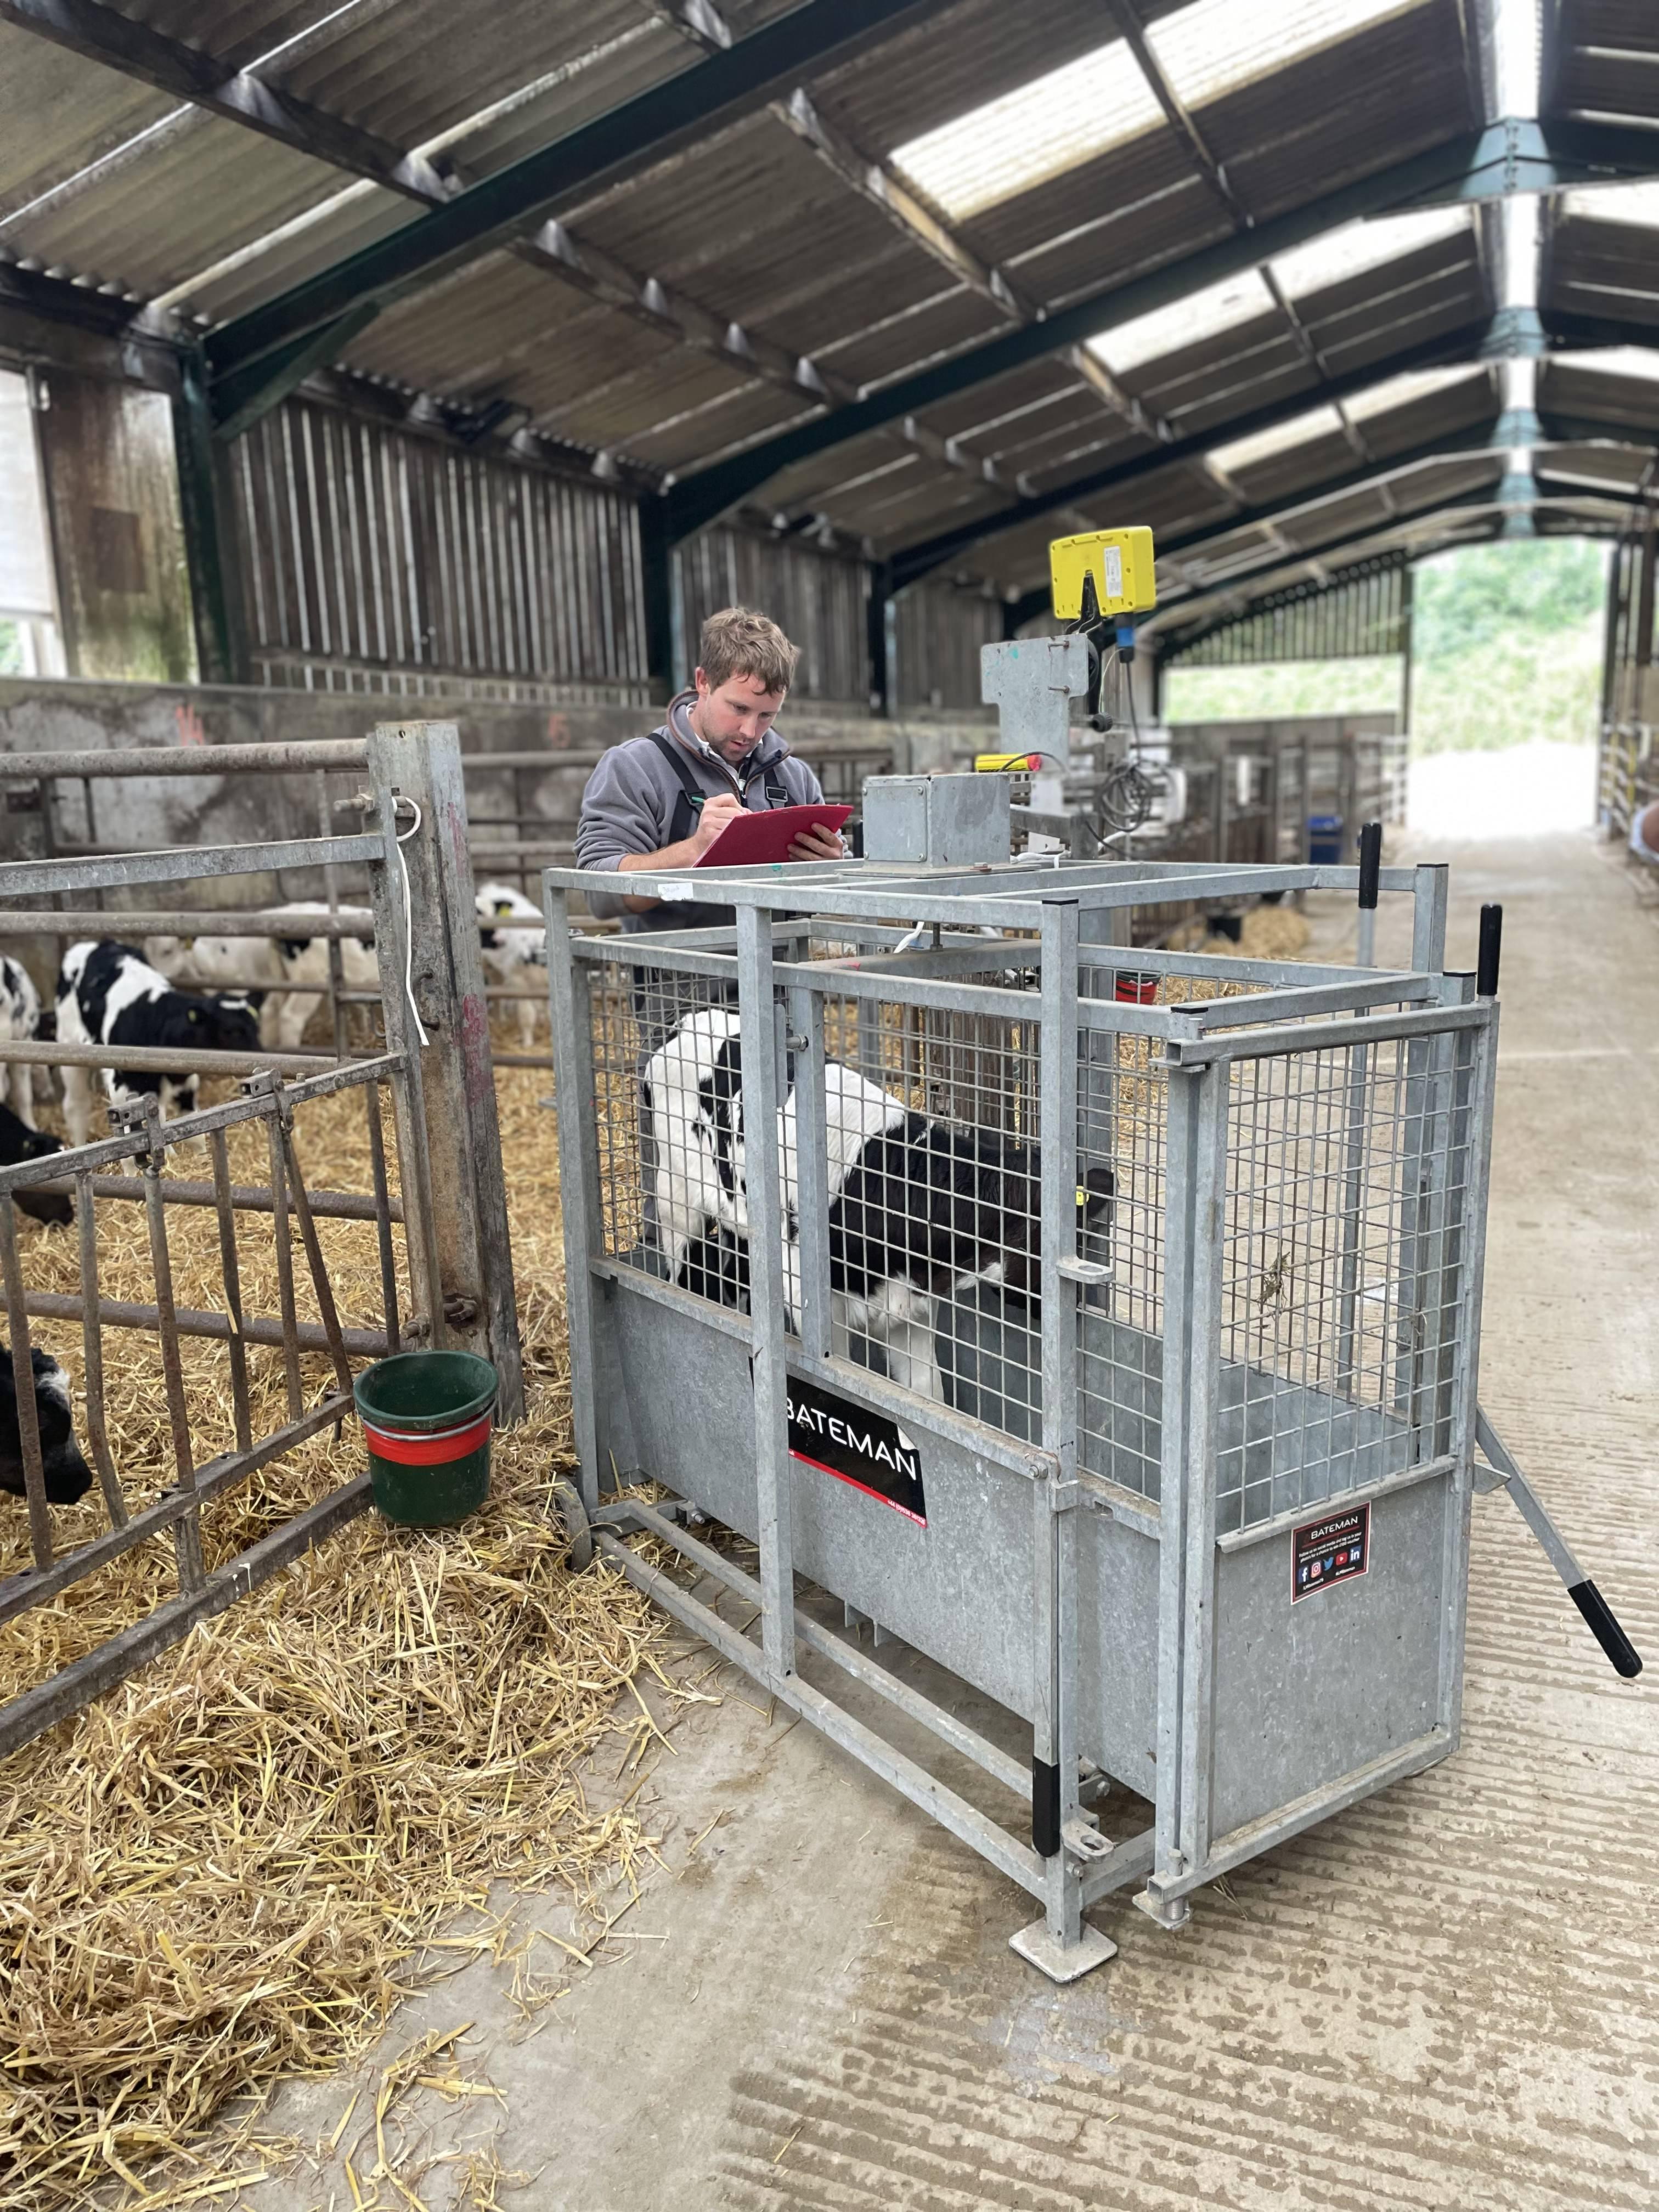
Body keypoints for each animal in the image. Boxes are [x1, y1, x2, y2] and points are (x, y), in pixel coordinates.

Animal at [55, 938, 261, 1141]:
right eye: (230, 1031)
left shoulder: (186, 1083)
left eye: (256, 1027)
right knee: (76, 1106)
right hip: (70, 1047)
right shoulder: (122, 1089)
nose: (260, 1054)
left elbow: (193, 1132)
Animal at [641, 1008, 1110, 1398]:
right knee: (682, 1275)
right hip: (675, 1197)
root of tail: (684, 1022)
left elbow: (927, 1391)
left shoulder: (911, 1310)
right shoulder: (814, 1303)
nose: (1080, 1312)